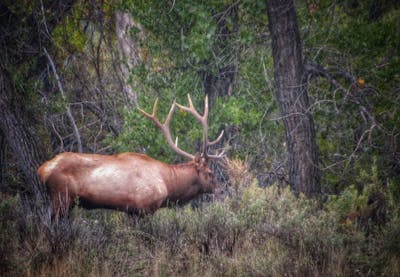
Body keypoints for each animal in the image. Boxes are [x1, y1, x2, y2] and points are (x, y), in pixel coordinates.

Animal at [37, 95, 225, 216]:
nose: (220, 190)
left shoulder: (131, 211)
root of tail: (42, 170)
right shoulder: (144, 208)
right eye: (210, 173)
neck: (167, 183)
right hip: (61, 197)